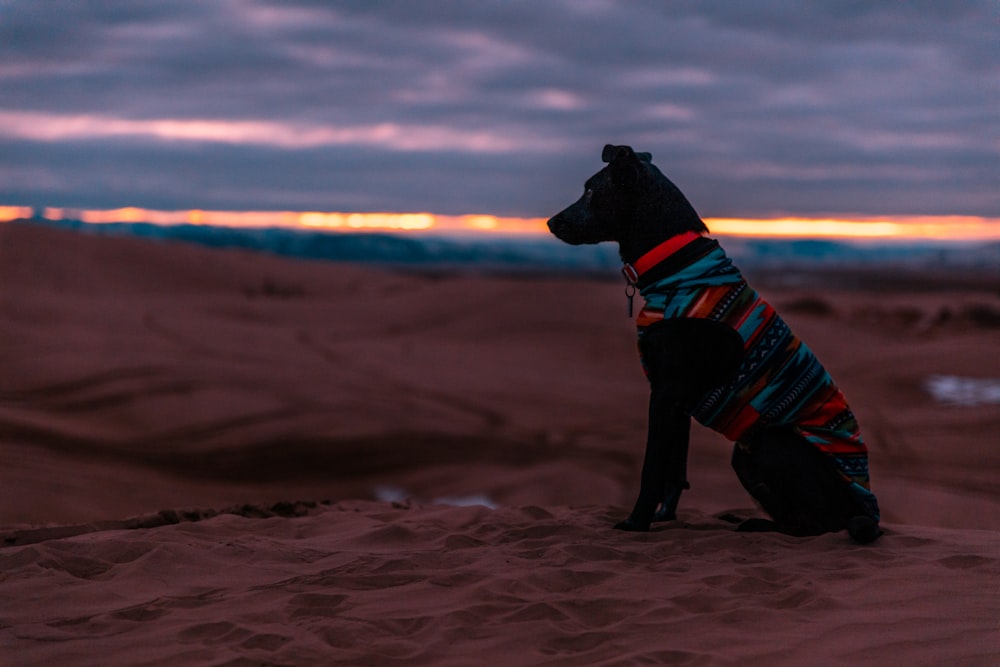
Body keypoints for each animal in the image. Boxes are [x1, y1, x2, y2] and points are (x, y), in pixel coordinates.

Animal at [548, 145, 884, 544]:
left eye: (590, 190)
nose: (550, 222)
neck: (677, 269)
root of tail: (866, 512)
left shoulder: (665, 393)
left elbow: (652, 466)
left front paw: (636, 522)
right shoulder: (675, 400)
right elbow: (674, 468)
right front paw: (664, 517)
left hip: (769, 441)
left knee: (818, 526)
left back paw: (758, 526)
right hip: (745, 454)